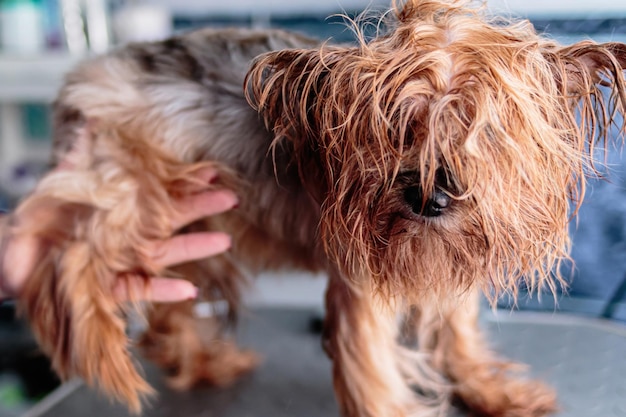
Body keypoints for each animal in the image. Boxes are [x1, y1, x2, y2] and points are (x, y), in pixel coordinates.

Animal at [8, 0, 624, 416]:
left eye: (486, 132)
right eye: (395, 129)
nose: (429, 196)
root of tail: (88, 74)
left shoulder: (452, 258)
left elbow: (457, 328)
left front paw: (488, 388)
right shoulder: (365, 277)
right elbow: (371, 368)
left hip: (190, 221)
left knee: (166, 302)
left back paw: (204, 362)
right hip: (137, 193)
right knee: (67, 256)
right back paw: (97, 346)